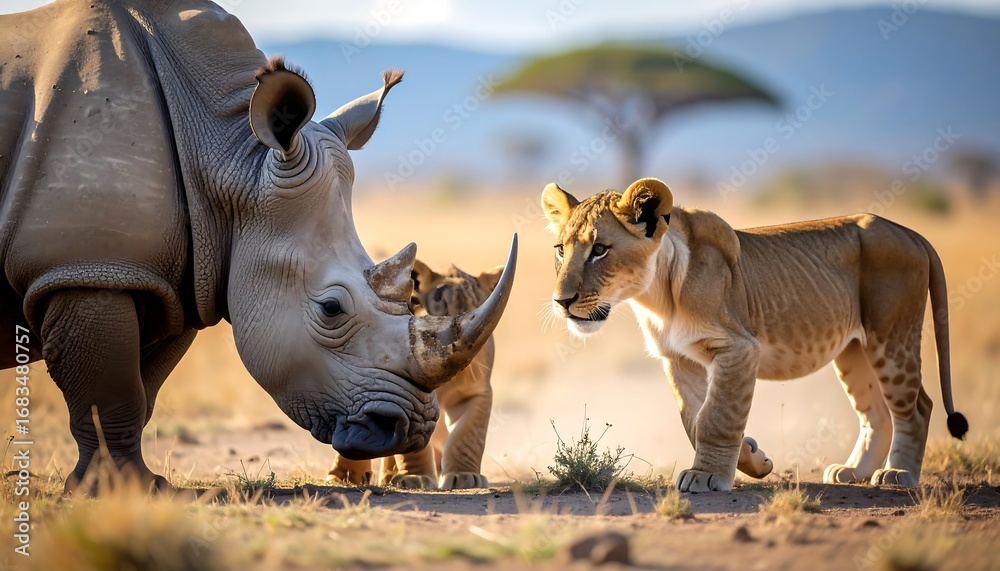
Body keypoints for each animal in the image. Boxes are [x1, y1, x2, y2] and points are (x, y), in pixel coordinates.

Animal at [328, 260, 502, 490]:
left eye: (477, 312)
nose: (455, 347)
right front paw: (415, 478)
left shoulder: (476, 392)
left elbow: (467, 435)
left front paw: (465, 476)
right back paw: (343, 477)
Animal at [541, 177, 968, 492]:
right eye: (560, 250)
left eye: (600, 249)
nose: (562, 301)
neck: (658, 295)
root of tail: (909, 232)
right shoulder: (678, 358)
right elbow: (693, 418)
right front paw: (753, 458)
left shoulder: (739, 348)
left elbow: (716, 416)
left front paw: (706, 476)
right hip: (854, 351)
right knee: (875, 411)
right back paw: (853, 472)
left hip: (891, 338)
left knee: (918, 406)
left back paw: (898, 475)